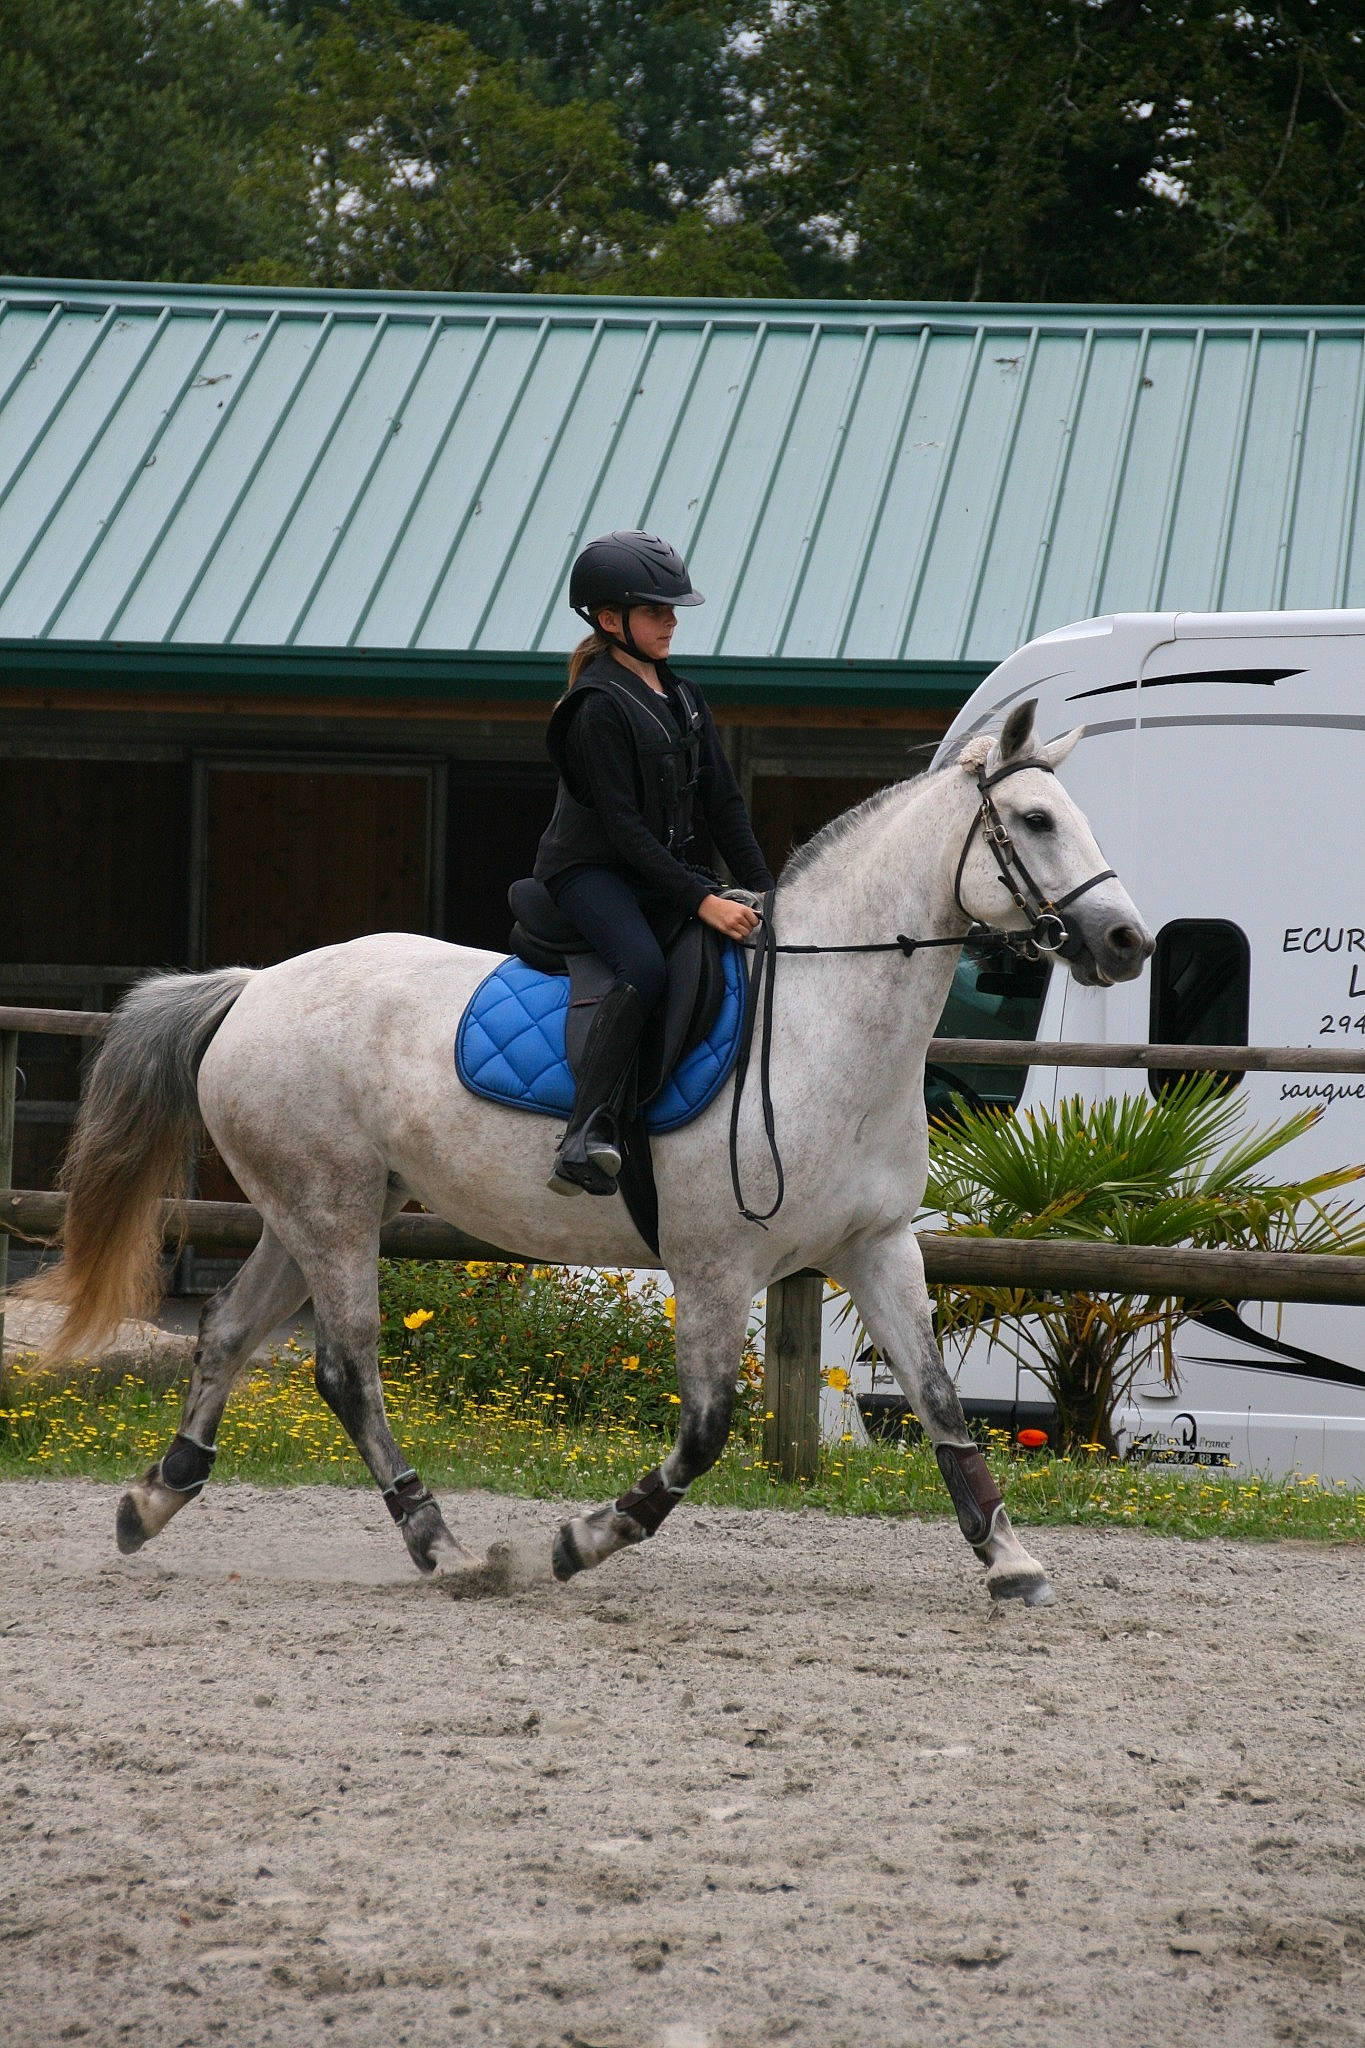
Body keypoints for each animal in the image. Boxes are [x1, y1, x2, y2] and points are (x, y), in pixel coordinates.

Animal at [22, 699, 1152, 1605]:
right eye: (1038, 820)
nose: (1125, 941)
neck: (824, 1018)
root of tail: (255, 985)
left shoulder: (875, 1246)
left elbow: (942, 1404)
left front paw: (1010, 1559)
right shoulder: (714, 1266)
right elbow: (704, 1431)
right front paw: (577, 1542)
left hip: (323, 1207)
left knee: (226, 1332)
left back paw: (153, 1498)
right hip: (331, 1211)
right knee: (346, 1369)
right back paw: (445, 1547)